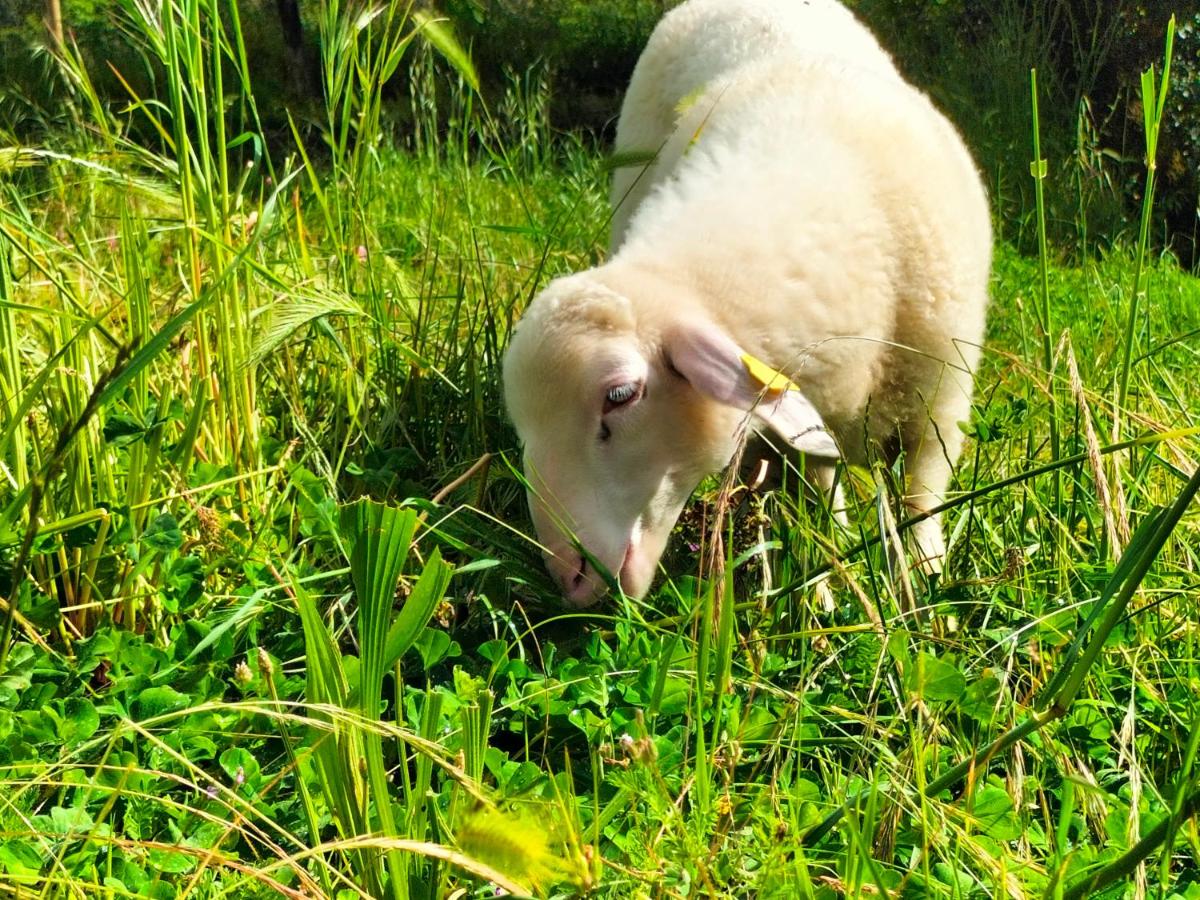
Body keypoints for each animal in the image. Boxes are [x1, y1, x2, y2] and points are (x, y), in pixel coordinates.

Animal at [501, 0, 988, 609]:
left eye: (620, 396)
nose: (570, 579)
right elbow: (820, 496)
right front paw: (828, 580)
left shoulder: (939, 398)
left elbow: (922, 498)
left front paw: (924, 582)